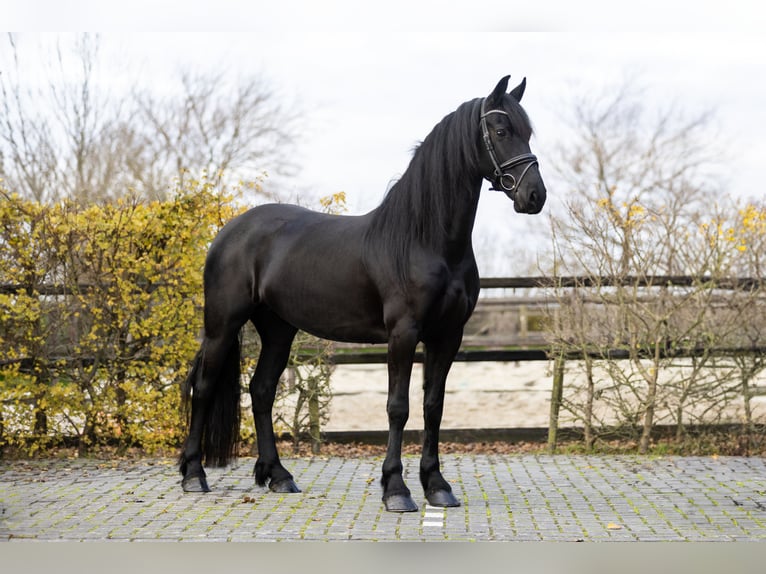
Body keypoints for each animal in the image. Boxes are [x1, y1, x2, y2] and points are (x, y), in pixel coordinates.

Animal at [182, 76, 544, 512]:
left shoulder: (448, 335)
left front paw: (437, 485)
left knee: (262, 390)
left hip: (278, 330)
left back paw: (279, 476)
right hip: (222, 325)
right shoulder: (403, 333)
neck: (424, 240)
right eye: (501, 131)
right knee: (203, 387)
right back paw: (194, 475)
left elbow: (433, 406)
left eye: (528, 132)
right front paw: (396, 489)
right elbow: (398, 408)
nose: (534, 196)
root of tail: (228, 231)